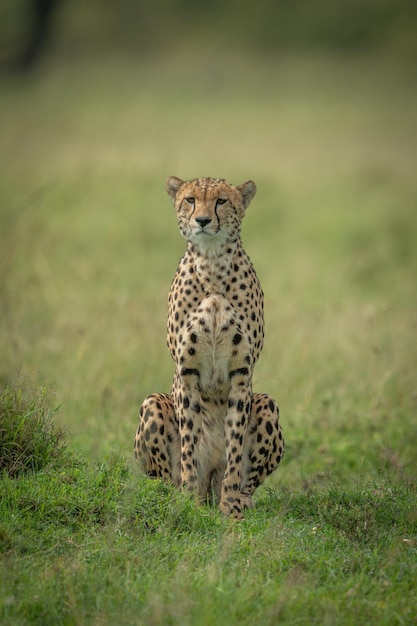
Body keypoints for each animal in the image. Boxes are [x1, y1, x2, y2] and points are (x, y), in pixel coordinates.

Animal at [133, 176, 282, 516]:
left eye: (221, 201)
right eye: (190, 199)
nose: (202, 220)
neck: (212, 264)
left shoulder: (242, 372)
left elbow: (235, 441)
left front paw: (231, 506)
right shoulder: (187, 371)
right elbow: (189, 439)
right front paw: (188, 499)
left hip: (267, 404)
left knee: (247, 479)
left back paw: (240, 500)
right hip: (153, 404)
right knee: (165, 477)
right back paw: (179, 494)